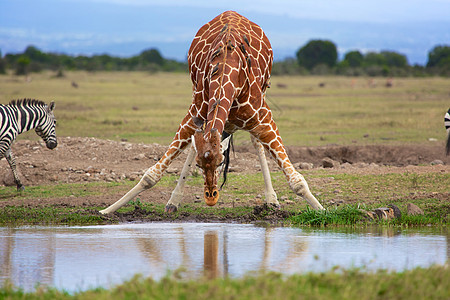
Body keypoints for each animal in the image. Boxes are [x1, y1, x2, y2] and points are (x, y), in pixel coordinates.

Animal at [100, 11, 322, 213]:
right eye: (199, 166)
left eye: (221, 161)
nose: (211, 198)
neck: (226, 71)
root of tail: (231, 12)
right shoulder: (193, 116)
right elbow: (151, 175)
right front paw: (105, 211)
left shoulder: (263, 118)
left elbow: (297, 181)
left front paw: (323, 211)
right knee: (194, 144)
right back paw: (173, 202)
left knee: (255, 142)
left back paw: (271, 200)